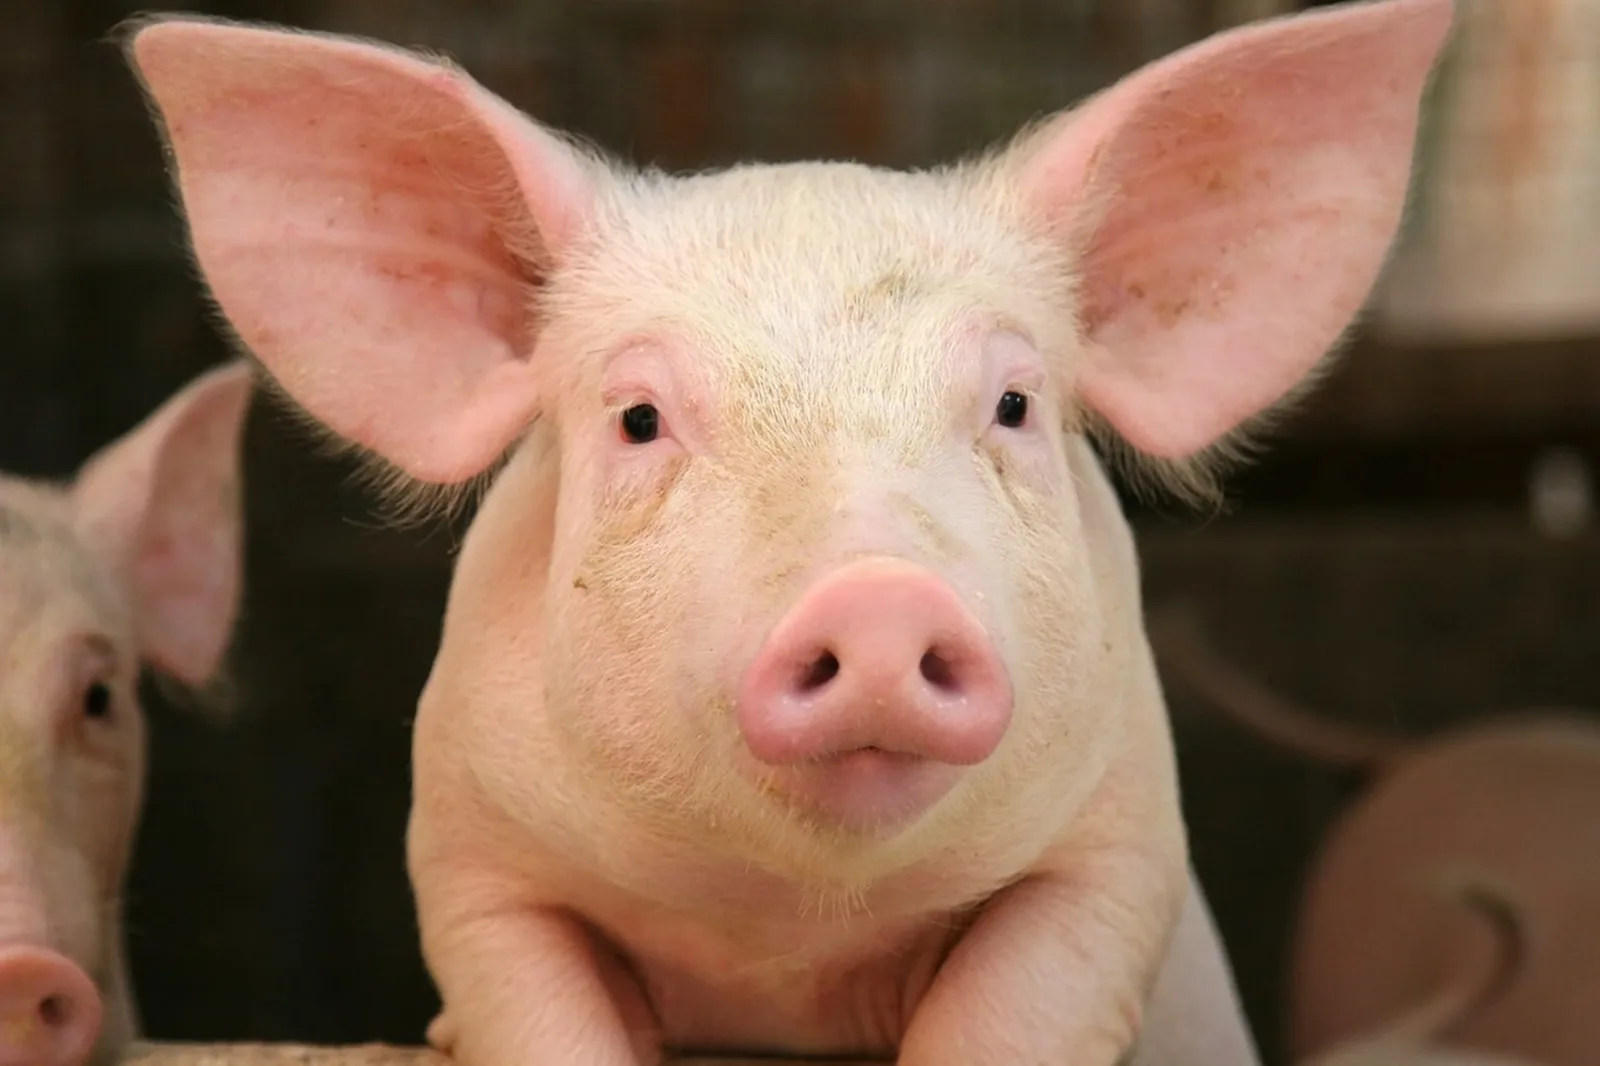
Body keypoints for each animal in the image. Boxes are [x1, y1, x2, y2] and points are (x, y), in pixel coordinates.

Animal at [119, 1, 1454, 1063]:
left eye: (1013, 405)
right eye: (640, 417)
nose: (877, 597)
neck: (789, 942)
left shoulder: (1118, 848)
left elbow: (1008, 1011)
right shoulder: (467, 855)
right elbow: (535, 1010)